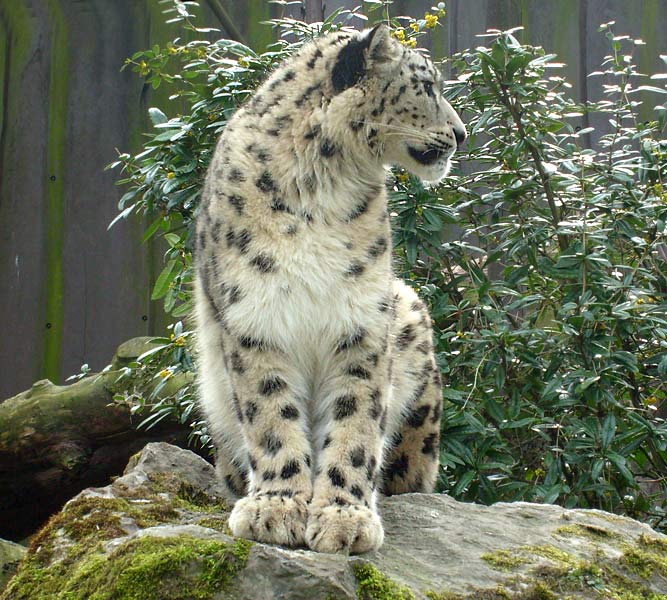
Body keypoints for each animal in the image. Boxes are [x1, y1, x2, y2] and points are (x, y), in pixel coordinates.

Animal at [193, 25, 464, 556]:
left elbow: (356, 420)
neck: (322, 189)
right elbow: (271, 415)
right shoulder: (255, 317)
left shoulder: (360, 321)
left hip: (410, 325)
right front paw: (276, 507)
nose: (461, 133)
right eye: (427, 86)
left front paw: (344, 516)